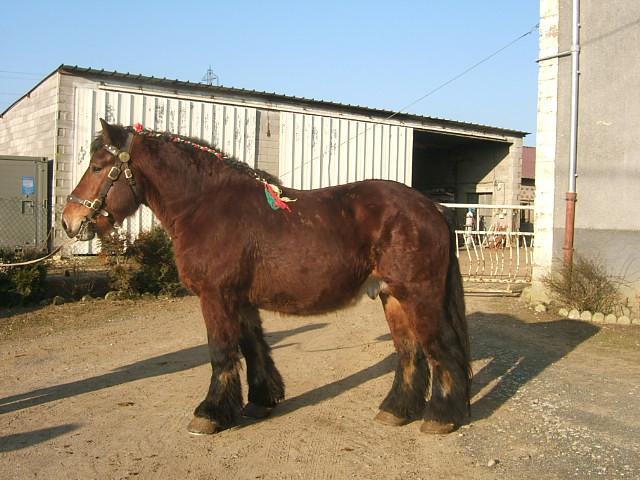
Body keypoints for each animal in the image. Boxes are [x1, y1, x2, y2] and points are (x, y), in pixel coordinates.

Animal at [62, 119, 472, 435]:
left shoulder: (215, 296)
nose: (69, 221)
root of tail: (433, 207)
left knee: (442, 350)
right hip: (393, 296)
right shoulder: (239, 299)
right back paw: (396, 411)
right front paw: (261, 401)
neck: (205, 205)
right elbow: (253, 347)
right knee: (410, 354)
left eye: (98, 166)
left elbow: (221, 353)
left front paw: (210, 415)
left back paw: (441, 418)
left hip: (419, 295)